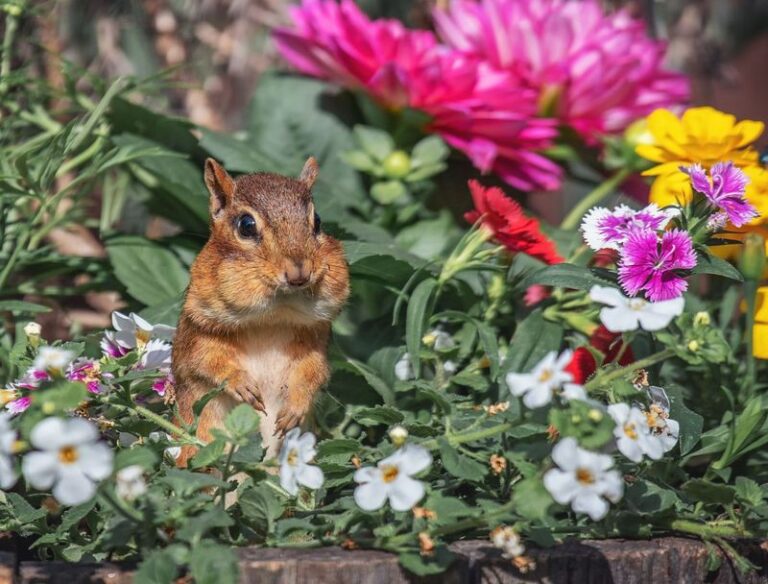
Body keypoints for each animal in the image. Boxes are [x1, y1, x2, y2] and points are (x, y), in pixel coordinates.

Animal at [172, 158, 349, 464]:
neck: (271, 319)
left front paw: (295, 407)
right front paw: (240, 382)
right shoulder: (199, 334)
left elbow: (313, 372)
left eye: (317, 221)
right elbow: (207, 360)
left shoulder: (314, 343)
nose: (299, 271)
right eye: (246, 225)